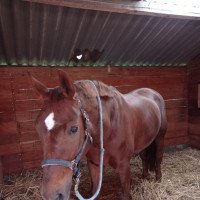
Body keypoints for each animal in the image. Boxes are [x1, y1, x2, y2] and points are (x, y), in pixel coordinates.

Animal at [32, 69, 167, 199]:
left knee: (158, 157)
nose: (51, 195)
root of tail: (151, 92)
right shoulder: (94, 165)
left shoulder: (124, 165)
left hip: (160, 137)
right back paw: (145, 176)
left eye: (74, 128)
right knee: (144, 156)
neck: (108, 130)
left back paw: (158, 179)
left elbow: (126, 193)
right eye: (38, 128)